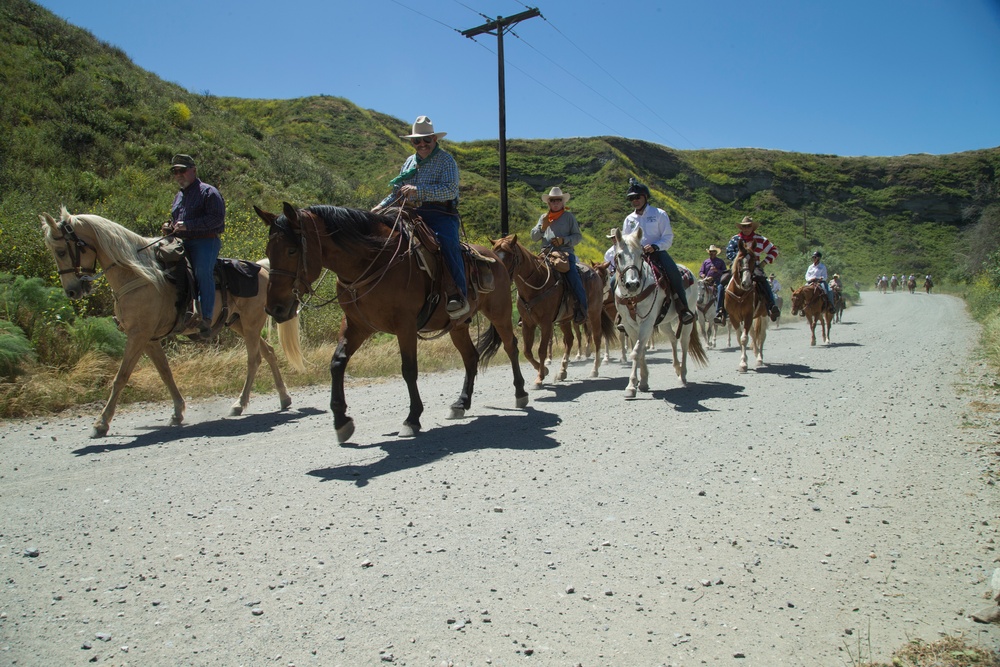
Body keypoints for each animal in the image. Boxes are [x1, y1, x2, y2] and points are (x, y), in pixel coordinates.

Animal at [40, 209, 304, 438]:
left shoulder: (138, 335)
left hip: (250, 325)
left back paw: (239, 404)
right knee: (268, 352)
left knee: (254, 359)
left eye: (61, 251)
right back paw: (284, 398)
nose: (72, 291)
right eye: (51, 250)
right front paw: (177, 411)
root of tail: (264, 270)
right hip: (238, 324)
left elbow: (121, 376)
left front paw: (101, 423)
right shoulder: (149, 339)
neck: (138, 275)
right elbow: (165, 372)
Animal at [254, 204, 528, 444]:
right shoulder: (357, 325)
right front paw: (342, 421)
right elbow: (337, 363)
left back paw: (521, 393)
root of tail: (496, 258)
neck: (373, 261)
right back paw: (461, 403)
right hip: (458, 325)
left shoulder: (405, 325)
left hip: (500, 313)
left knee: (511, 347)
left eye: (291, 250)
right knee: (470, 357)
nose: (274, 308)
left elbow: (409, 369)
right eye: (268, 252)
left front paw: (412, 419)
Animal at [492, 236, 616, 388]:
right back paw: (562, 371)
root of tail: (594, 273)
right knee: (569, 339)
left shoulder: (546, 323)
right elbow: (527, 351)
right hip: (565, 320)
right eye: (494, 254)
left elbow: (541, 350)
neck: (537, 282)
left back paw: (594, 369)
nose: (499, 278)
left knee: (597, 338)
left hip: (594, 314)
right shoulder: (528, 323)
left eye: (510, 256)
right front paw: (544, 370)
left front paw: (539, 378)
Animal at [724, 240, 768, 374]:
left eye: (753, 260)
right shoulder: (734, 317)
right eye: (739, 261)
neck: (739, 293)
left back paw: (760, 358)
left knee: (762, 335)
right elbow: (740, 338)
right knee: (753, 333)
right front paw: (744, 361)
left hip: (763, 315)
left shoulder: (748, 315)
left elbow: (744, 338)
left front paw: (743, 363)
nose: (746, 283)